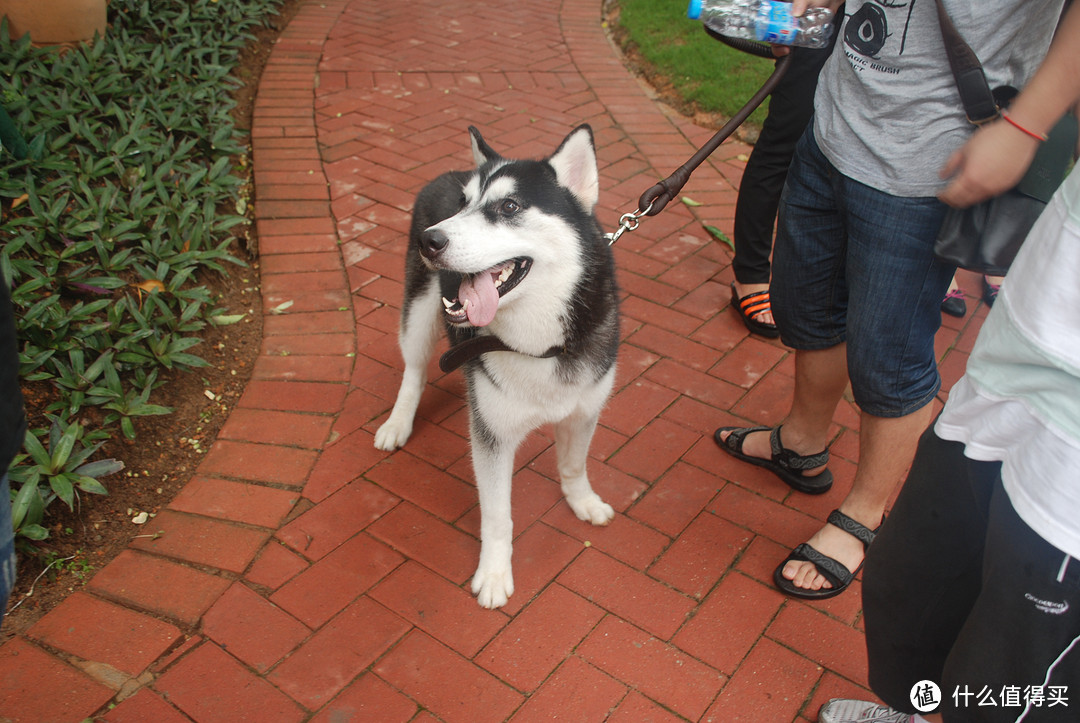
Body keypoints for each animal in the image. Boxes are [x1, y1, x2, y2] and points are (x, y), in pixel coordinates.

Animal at [375, 125, 622, 609]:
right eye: (463, 203)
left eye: (509, 207)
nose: (431, 240)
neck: (540, 346)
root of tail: (447, 171)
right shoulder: (492, 437)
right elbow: (498, 517)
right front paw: (493, 574)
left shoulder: (584, 410)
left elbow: (573, 465)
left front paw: (581, 501)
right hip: (419, 313)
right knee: (413, 371)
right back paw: (398, 422)